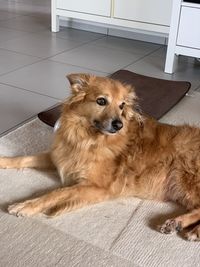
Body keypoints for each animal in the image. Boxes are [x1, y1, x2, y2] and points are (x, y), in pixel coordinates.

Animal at [1, 74, 200, 243]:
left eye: (122, 105)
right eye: (101, 101)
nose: (119, 125)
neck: (88, 139)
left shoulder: (98, 187)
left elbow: (57, 192)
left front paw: (26, 205)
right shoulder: (60, 157)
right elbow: (24, 158)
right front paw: (4, 161)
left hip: (185, 180)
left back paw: (189, 229)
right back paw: (177, 224)